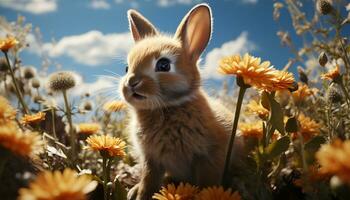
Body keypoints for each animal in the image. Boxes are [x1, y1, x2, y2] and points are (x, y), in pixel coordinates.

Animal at [119, 3, 245, 200]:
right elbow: (148, 181)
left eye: (163, 65)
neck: (168, 107)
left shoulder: (210, 156)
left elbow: (207, 183)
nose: (131, 83)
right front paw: (141, 194)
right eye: (126, 68)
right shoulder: (151, 160)